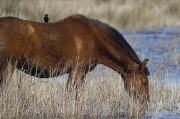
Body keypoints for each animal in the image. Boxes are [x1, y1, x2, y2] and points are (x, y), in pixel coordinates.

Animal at [0, 13, 149, 103]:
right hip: (8, 65)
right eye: (143, 81)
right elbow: (69, 95)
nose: (145, 103)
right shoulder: (76, 70)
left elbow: (78, 97)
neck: (96, 40)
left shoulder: (82, 73)